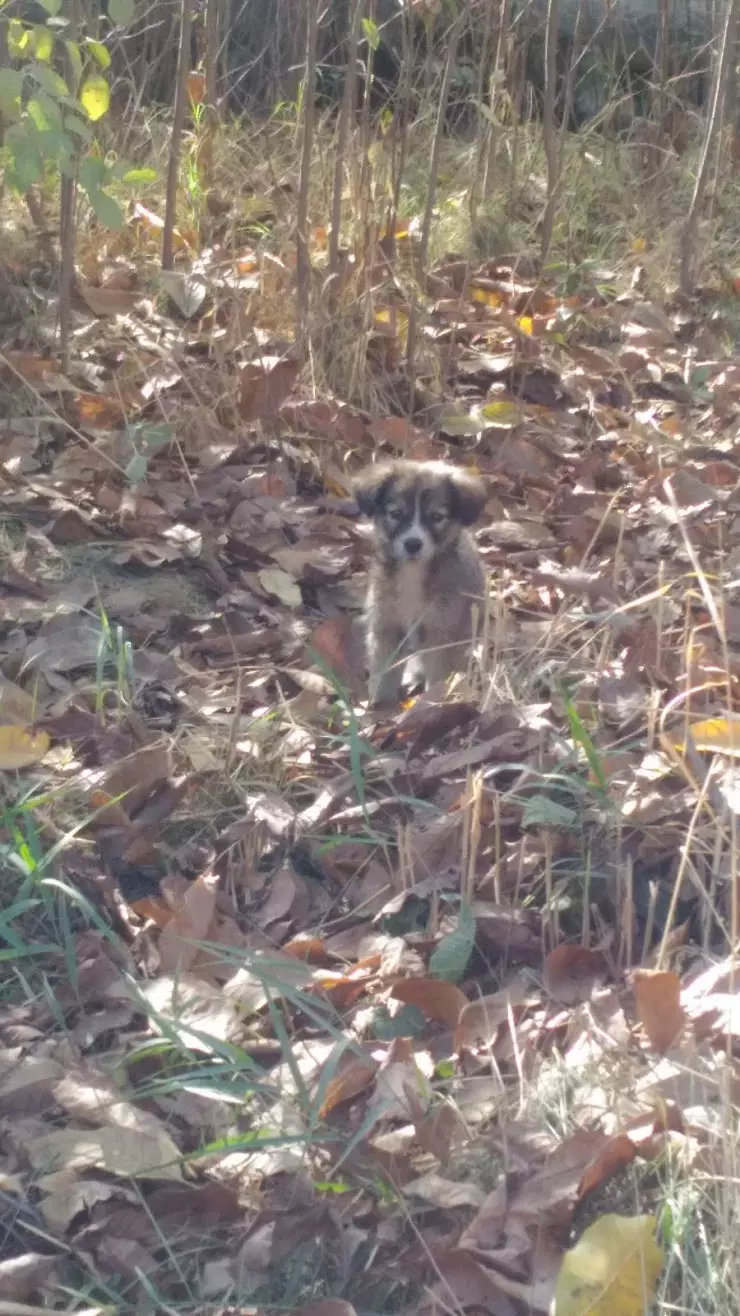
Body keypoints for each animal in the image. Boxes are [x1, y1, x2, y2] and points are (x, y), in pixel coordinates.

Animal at [350, 463, 484, 710]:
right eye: (396, 514)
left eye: (436, 517)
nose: (413, 544)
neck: (413, 572)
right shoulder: (386, 626)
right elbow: (384, 670)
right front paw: (380, 703)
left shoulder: (441, 632)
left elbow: (439, 675)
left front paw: (434, 702)